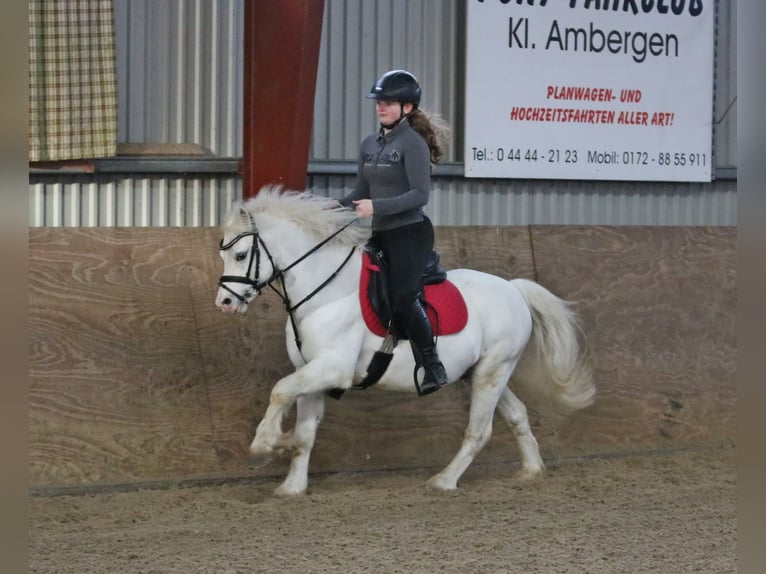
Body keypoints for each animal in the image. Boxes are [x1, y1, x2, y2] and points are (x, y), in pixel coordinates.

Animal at [218, 187, 600, 498]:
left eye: (240, 255)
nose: (224, 304)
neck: (326, 292)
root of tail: (513, 288)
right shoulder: (311, 372)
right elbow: (303, 433)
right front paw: (291, 485)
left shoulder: (332, 368)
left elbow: (279, 390)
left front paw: (264, 446)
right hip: (484, 373)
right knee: (517, 414)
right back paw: (531, 471)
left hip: (492, 372)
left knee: (479, 430)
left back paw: (443, 481)